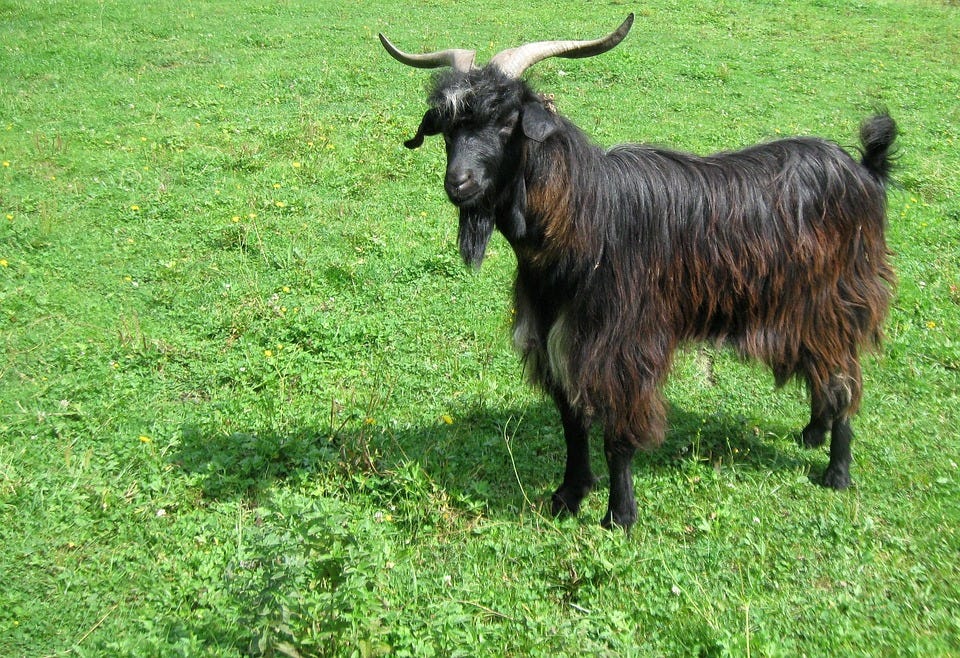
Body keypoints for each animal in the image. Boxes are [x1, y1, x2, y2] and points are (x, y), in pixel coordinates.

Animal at [379, 14, 897, 529]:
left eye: (508, 122)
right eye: (448, 129)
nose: (458, 184)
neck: (584, 222)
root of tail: (863, 171)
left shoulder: (622, 346)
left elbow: (618, 437)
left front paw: (620, 514)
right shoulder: (557, 340)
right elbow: (572, 423)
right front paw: (569, 495)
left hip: (838, 300)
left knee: (845, 377)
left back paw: (837, 470)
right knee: (822, 366)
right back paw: (812, 433)